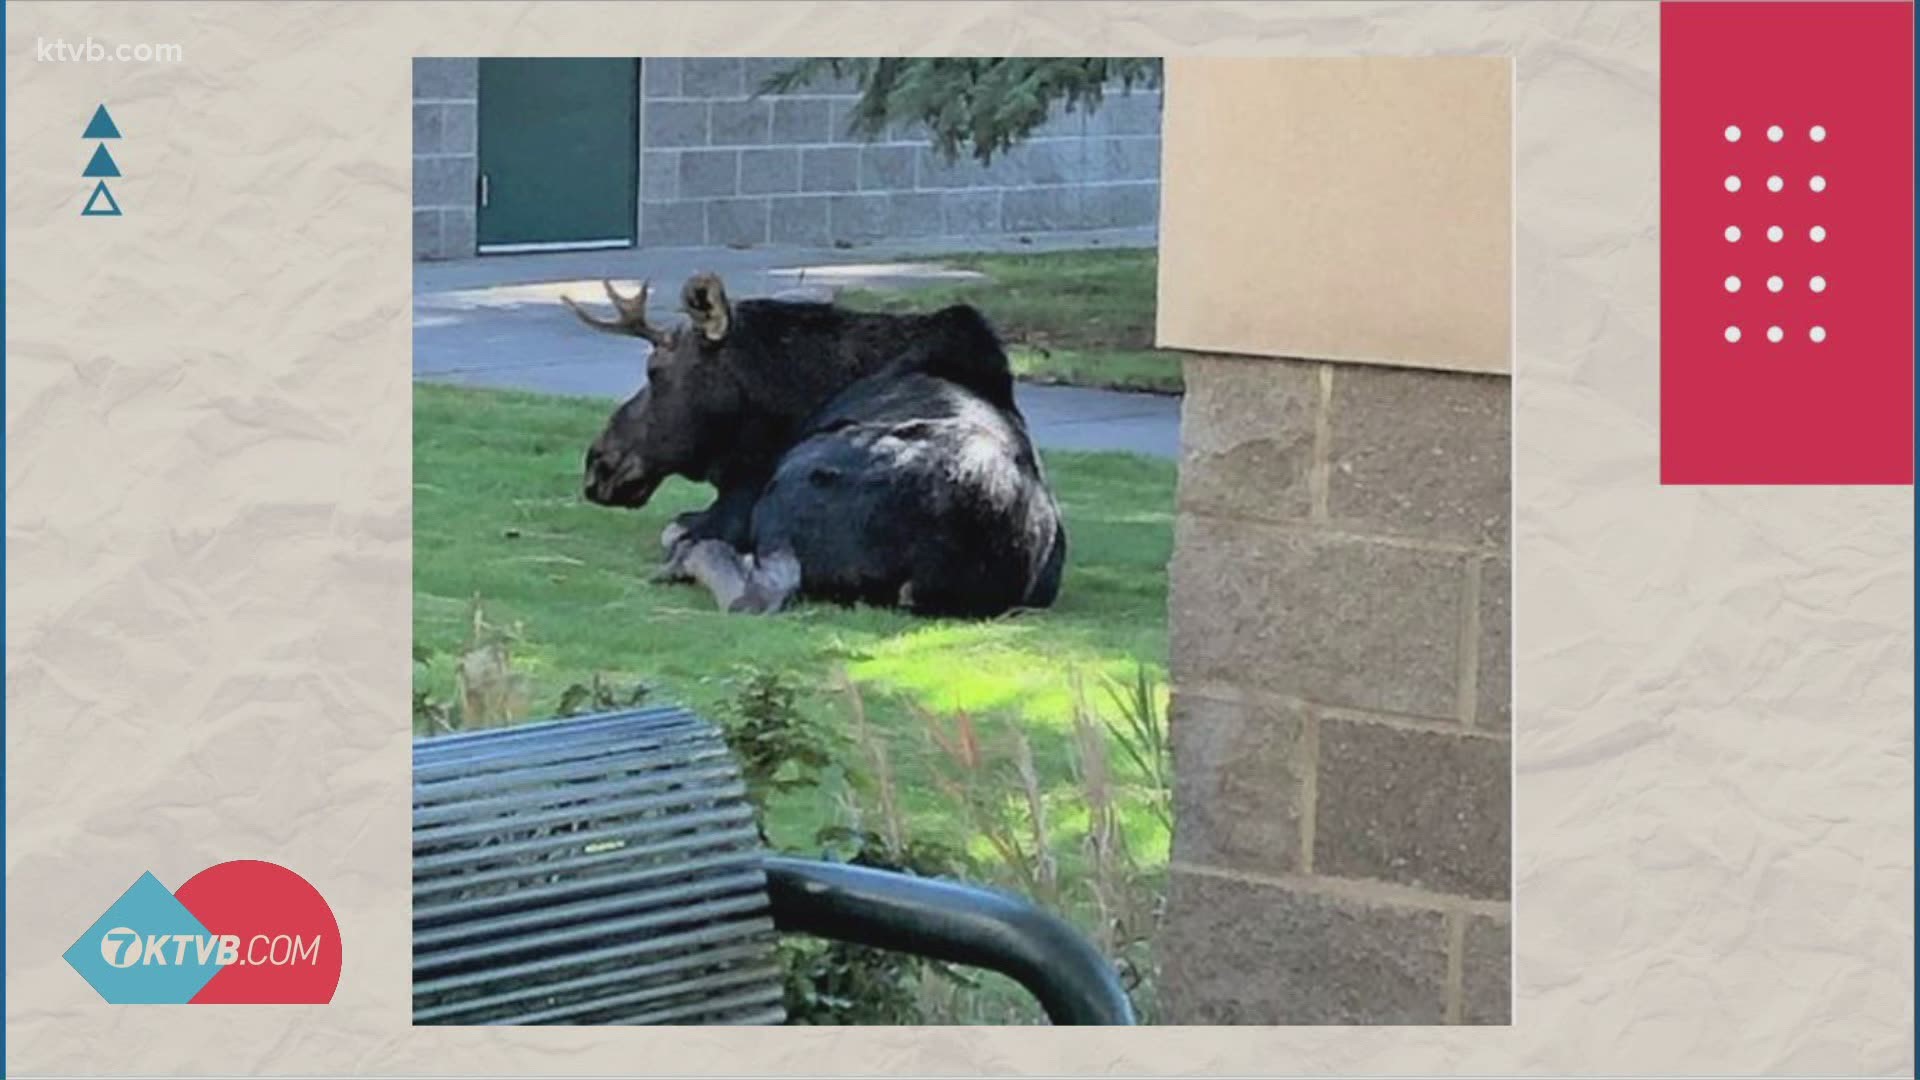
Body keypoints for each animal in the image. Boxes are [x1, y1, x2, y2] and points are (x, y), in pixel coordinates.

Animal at [560, 270, 1067, 614]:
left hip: (793, 482)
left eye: (654, 372)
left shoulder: (743, 493)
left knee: (752, 590)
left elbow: (678, 527)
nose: (597, 465)